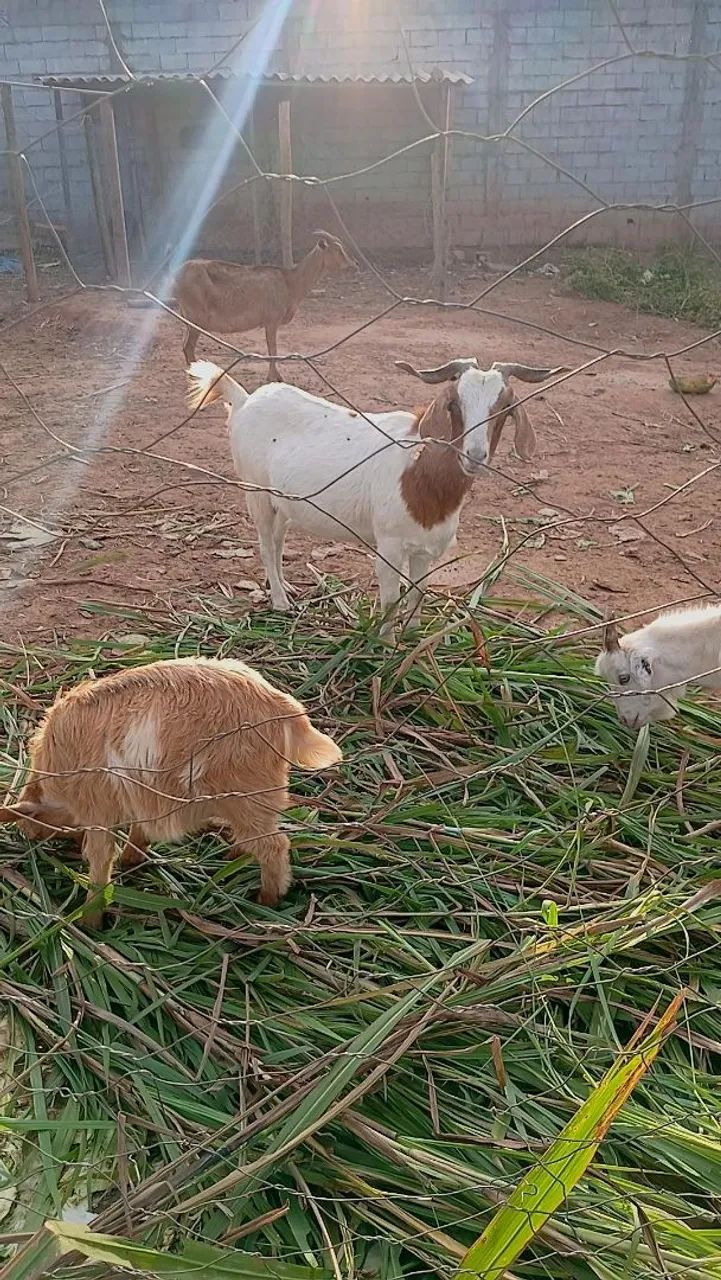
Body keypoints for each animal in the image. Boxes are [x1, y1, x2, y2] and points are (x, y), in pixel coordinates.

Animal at [0, 657, 342, 927]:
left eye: (31, 818)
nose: (28, 836)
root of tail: (286, 708)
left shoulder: (97, 807)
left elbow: (99, 861)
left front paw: (90, 922)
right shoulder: (140, 794)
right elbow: (138, 833)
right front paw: (132, 860)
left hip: (246, 795)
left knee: (274, 846)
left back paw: (266, 899)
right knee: (257, 839)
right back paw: (234, 856)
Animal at [176, 230, 354, 379]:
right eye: (337, 249)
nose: (353, 265)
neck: (290, 283)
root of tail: (179, 274)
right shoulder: (272, 320)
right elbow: (272, 349)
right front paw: (275, 377)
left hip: (188, 320)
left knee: (184, 346)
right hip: (196, 318)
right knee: (189, 347)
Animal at [187, 354, 565, 636]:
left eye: (504, 406)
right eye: (454, 404)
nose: (474, 455)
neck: (420, 474)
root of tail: (245, 399)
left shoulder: (425, 550)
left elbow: (417, 595)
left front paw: (413, 642)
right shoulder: (389, 545)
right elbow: (390, 599)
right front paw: (384, 646)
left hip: (285, 501)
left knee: (278, 541)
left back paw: (287, 588)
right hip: (256, 492)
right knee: (266, 544)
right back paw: (281, 602)